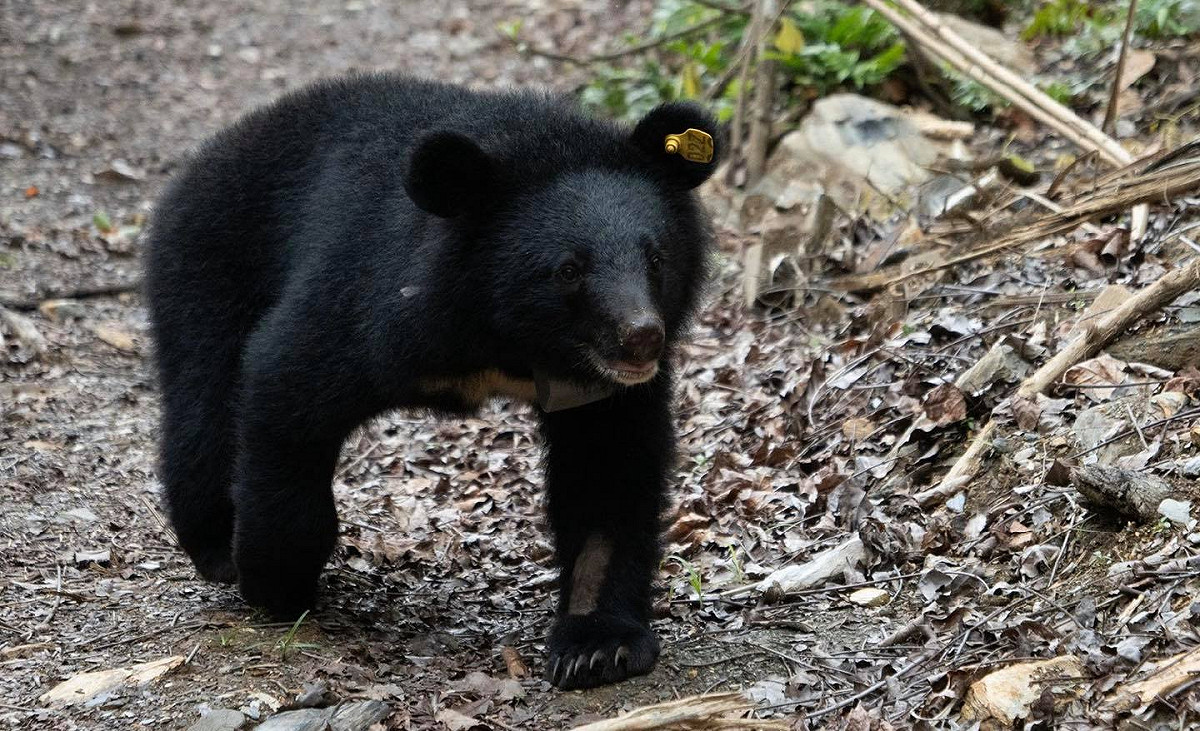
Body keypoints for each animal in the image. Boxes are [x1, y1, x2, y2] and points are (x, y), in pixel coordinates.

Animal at [144, 73, 719, 690]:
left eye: (656, 259)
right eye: (569, 270)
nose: (642, 339)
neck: (511, 341)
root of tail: (211, 153)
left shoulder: (598, 387)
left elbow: (608, 469)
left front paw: (597, 646)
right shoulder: (373, 303)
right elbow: (288, 388)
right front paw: (276, 580)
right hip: (208, 266)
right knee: (203, 406)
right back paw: (215, 546)